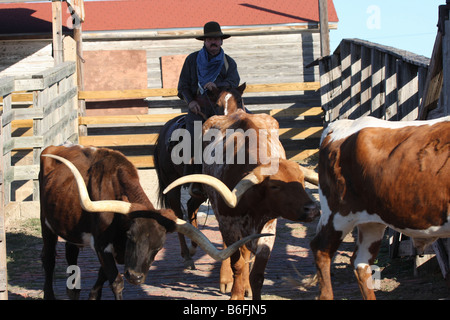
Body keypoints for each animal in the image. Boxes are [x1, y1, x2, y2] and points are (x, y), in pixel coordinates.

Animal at [39, 144, 268, 298]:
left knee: (71, 257)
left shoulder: (114, 251)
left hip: (70, 228)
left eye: (158, 248)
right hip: (46, 224)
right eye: (131, 237)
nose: (136, 277)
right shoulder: (102, 245)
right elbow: (116, 282)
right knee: (48, 260)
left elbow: (100, 280)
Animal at [154, 84, 246, 268]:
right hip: (171, 184)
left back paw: (194, 247)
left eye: (239, 100)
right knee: (179, 214)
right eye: (217, 104)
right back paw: (186, 255)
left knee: (191, 206)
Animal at [163, 110, 318, 300]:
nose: (312, 210)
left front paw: (249, 288)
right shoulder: (229, 226)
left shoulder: (268, 230)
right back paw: (222, 278)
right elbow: (237, 263)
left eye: (302, 180)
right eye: (274, 186)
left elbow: (257, 274)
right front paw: (236, 294)